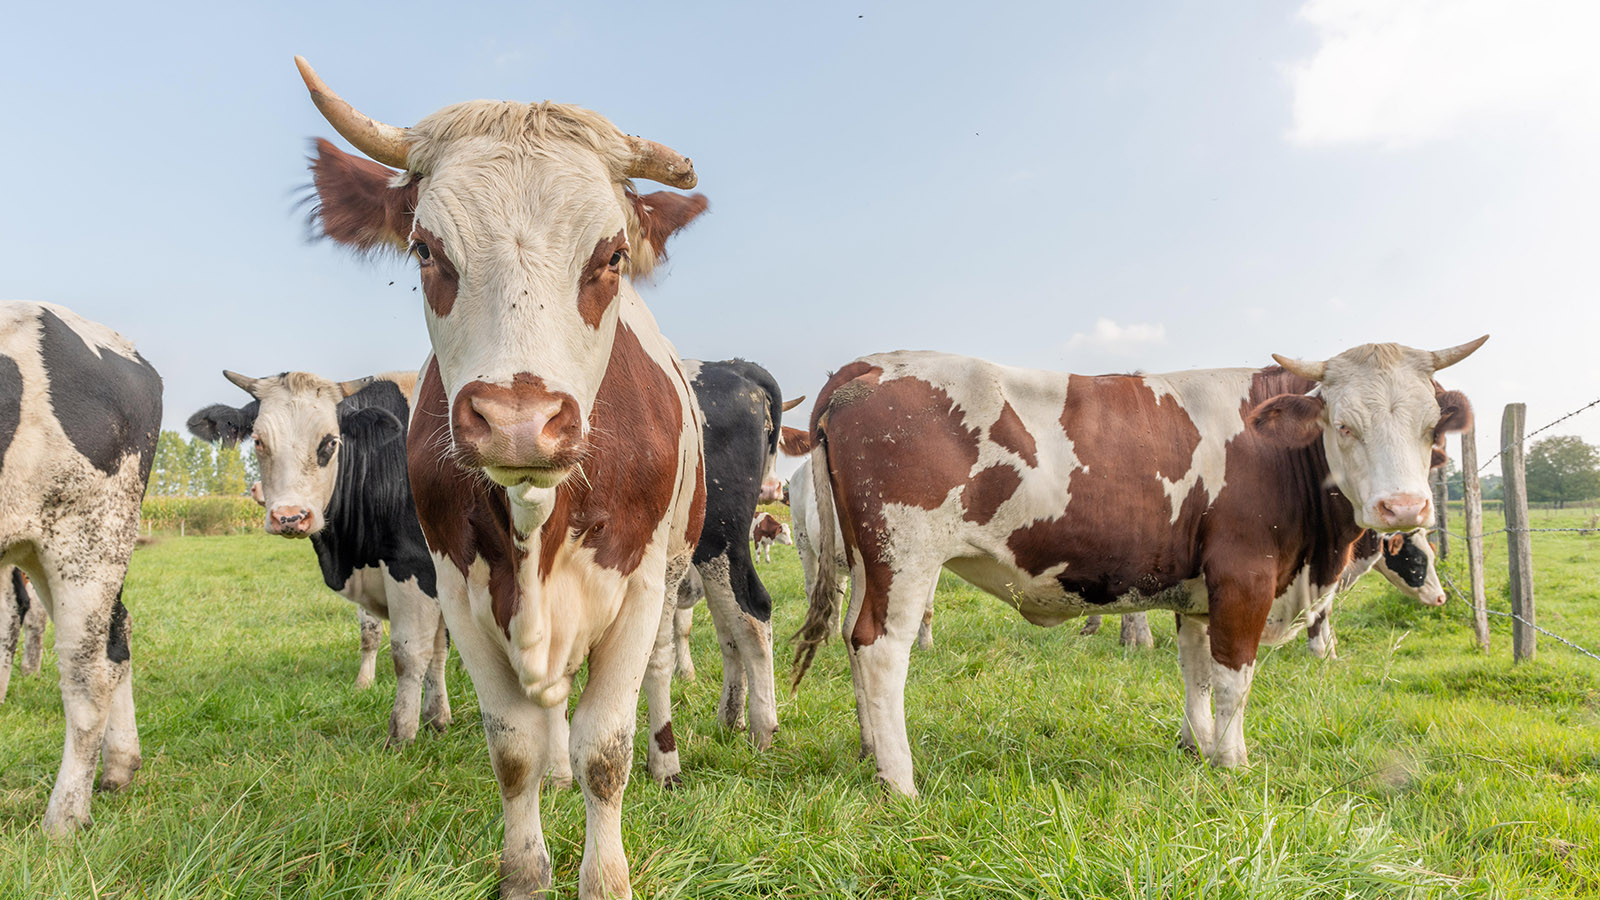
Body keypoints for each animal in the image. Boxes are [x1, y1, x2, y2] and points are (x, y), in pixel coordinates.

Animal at [188, 370, 450, 744]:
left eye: (330, 442)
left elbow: (411, 653)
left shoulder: (415, 566)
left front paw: (401, 734)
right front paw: (437, 719)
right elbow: (432, 647)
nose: (289, 517)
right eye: (258, 441)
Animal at [297, 57, 708, 899]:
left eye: (611, 256)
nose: (520, 419)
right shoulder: (457, 588)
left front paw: (605, 875)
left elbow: (605, 751)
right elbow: (514, 747)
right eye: (425, 250)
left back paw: (665, 761)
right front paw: (525, 868)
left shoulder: (638, 585)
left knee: (653, 678)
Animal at [791, 339, 1484, 795]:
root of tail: (869, 364)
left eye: (1431, 428)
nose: (1404, 506)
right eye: (1343, 425)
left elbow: (1196, 672)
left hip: (868, 560)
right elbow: (1235, 679)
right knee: (881, 650)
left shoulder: (1200, 593)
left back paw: (868, 753)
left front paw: (1198, 746)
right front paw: (1233, 764)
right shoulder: (1244, 579)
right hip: (906, 555)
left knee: (852, 639)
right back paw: (899, 780)